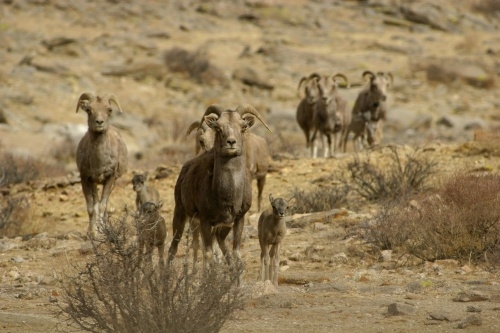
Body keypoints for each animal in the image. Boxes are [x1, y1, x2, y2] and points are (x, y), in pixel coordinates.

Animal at [75, 92, 128, 237]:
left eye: (109, 110)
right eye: (89, 110)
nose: (99, 122)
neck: (98, 163)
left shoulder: (109, 178)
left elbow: (103, 206)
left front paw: (102, 231)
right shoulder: (86, 179)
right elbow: (92, 207)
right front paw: (92, 233)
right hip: (94, 184)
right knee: (96, 204)